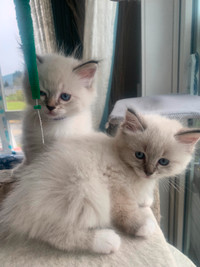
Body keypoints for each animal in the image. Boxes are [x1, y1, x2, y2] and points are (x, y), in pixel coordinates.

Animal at [0, 110, 199, 254]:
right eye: (139, 155)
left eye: (163, 161)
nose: (148, 172)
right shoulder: (116, 187)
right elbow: (127, 211)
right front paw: (143, 225)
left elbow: (141, 199)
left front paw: (145, 199)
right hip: (85, 192)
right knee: (53, 234)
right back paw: (106, 241)